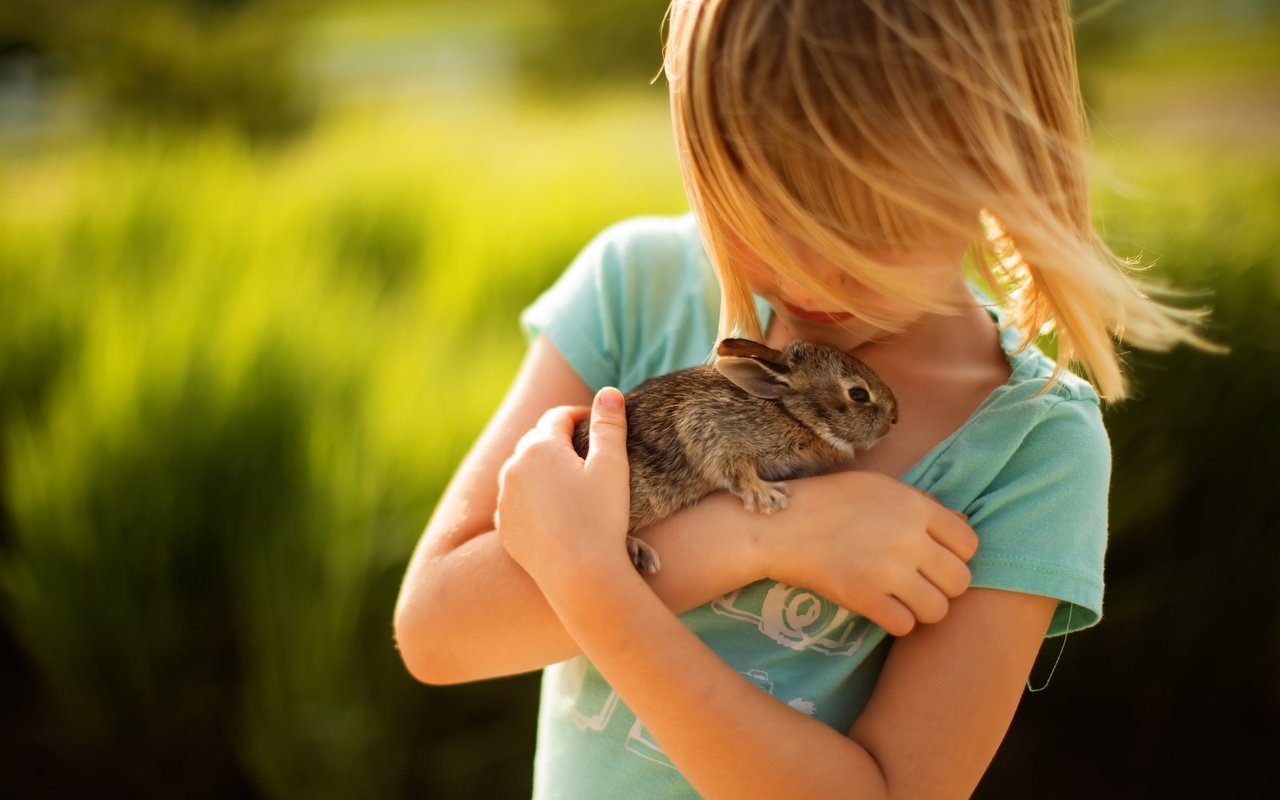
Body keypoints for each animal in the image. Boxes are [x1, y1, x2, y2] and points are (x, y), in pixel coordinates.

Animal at [576, 337, 896, 573]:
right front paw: (767, 496)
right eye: (858, 394)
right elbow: (735, 469)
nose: (895, 418)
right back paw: (641, 553)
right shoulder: (709, 425)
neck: (792, 413)